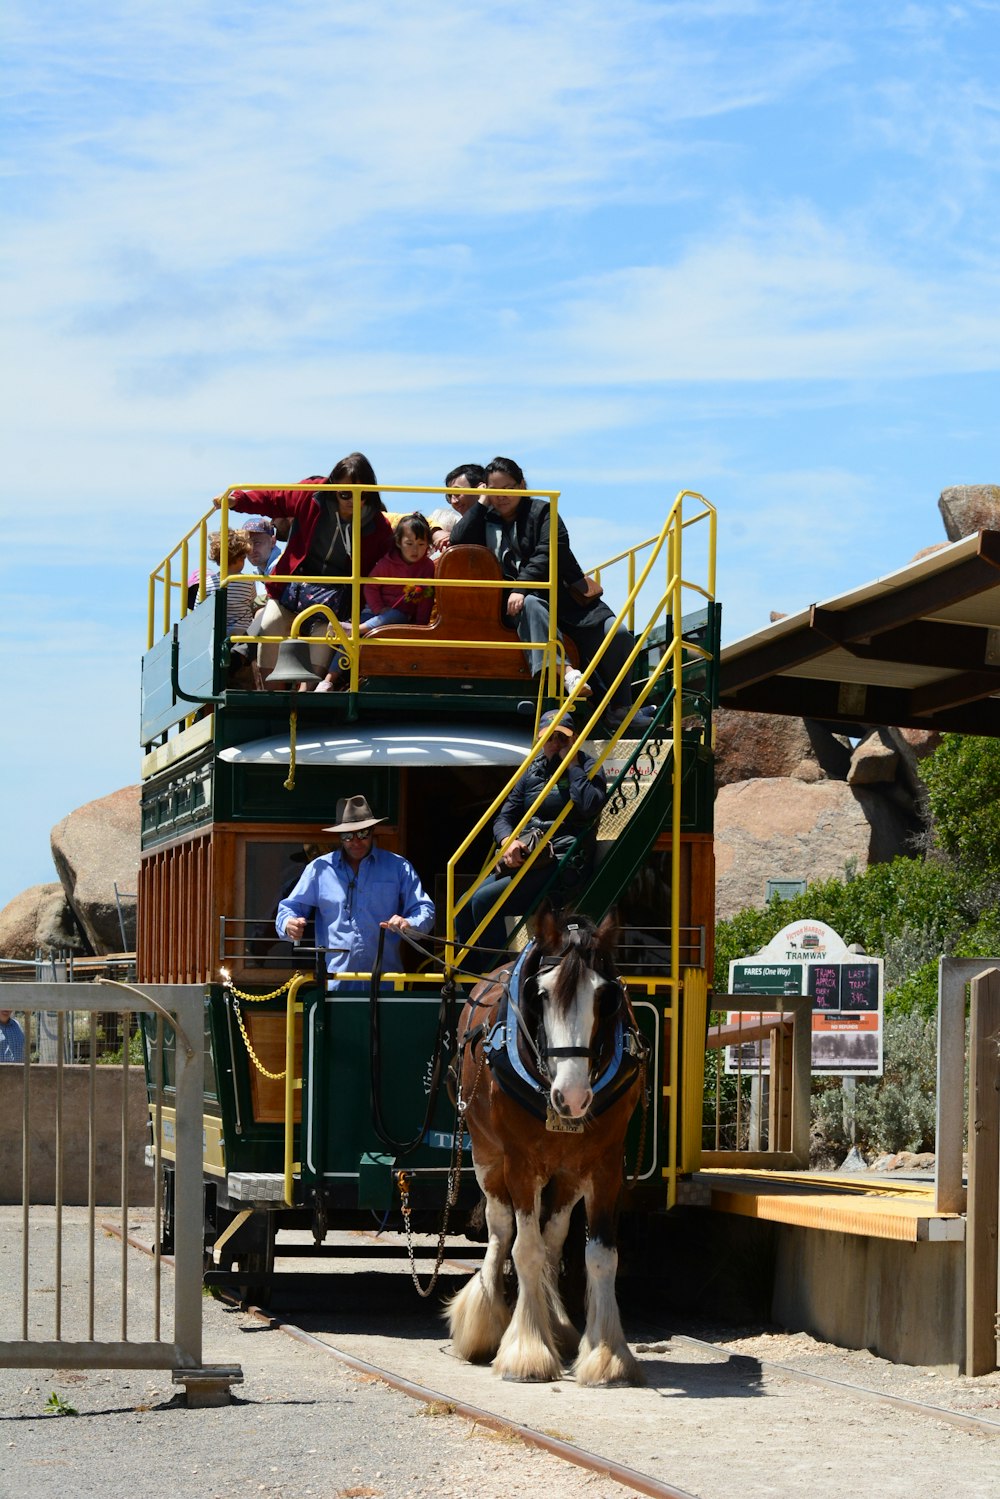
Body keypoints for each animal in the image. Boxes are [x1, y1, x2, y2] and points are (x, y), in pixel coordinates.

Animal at [446, 899, 650, 1379]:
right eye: (541, 994)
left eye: (606, 998)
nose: (571, 1097)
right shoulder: (519, 1162)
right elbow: (524, 1249)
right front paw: (527, 1351)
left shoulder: (605, 1163)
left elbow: (600, 1256)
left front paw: (606, 1355)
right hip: (487, 1156)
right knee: (502, 1229)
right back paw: (485, 1319)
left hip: (568, 1171)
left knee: (554, 1235)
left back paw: (556, 1323)